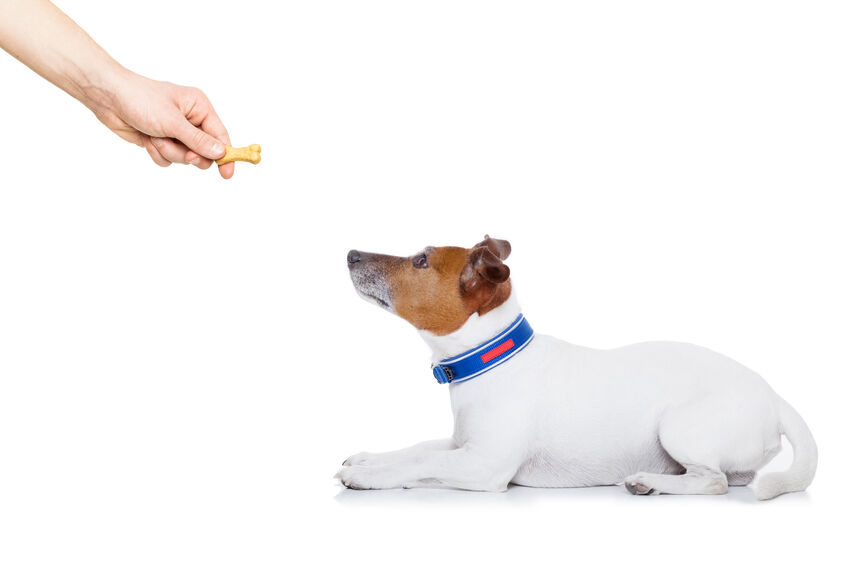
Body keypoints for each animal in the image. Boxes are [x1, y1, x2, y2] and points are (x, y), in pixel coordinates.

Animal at [338, 236, 816, 500]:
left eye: (420, 260)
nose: (351, 253)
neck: (492, 358)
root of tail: (775, 397)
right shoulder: (462, 445)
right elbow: (417, 449)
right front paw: (369, 458)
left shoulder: (484, 464)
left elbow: (420, 463)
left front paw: (367, 476)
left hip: (680, 427)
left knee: (714, 481)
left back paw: (649, 482)